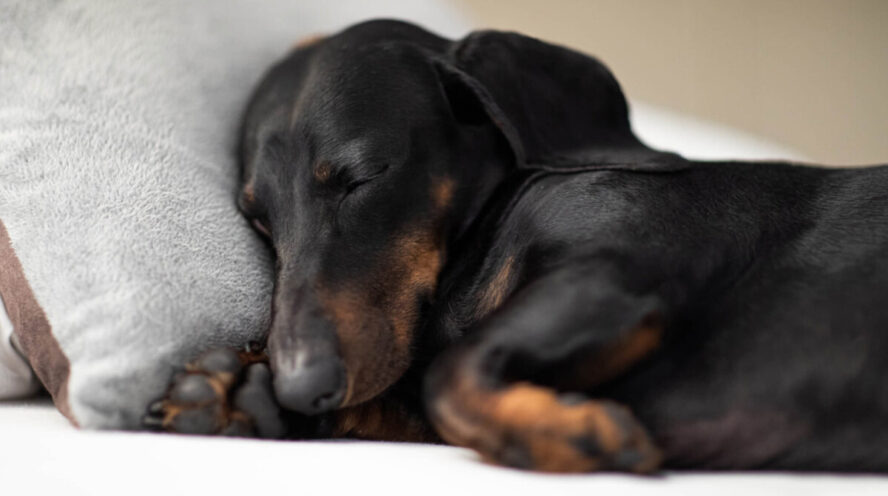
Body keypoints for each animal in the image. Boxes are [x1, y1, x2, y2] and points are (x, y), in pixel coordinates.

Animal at [146, 20, 888, 472]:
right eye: (258, 219)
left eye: (361, 176)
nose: (300, 387)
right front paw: (232, 389)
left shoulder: (621, 272)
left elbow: (447, 378)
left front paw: (577, 434)